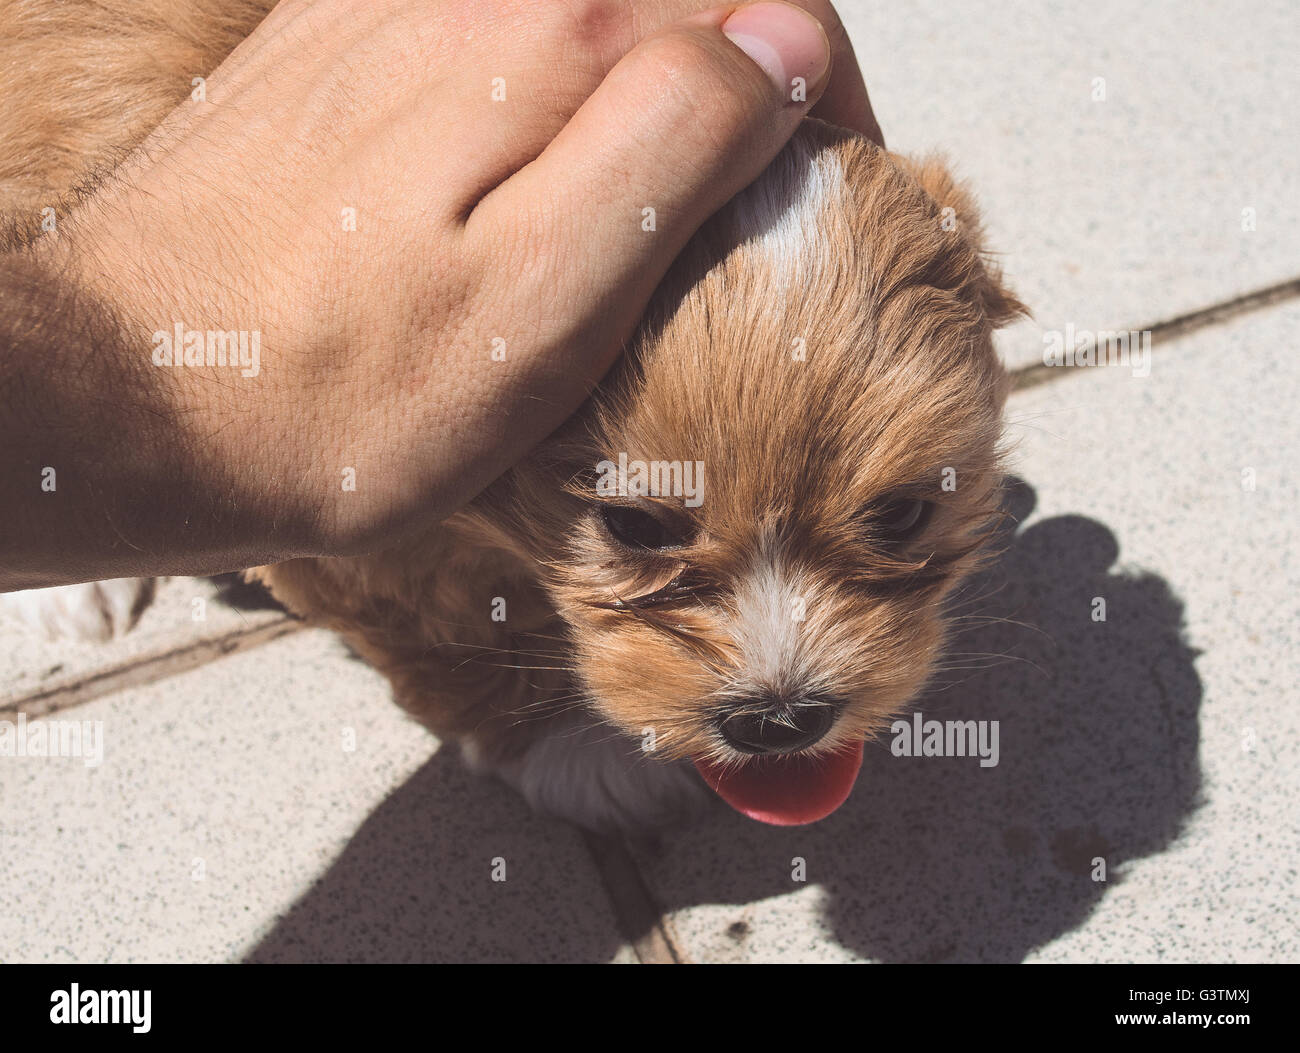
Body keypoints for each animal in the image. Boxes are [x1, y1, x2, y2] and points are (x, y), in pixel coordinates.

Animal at [2, 0, 1024, 832]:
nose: (781, 717)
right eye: (632, 525)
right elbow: (457, 635)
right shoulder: (363, 515)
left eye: (902, 515)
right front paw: (572, 749)